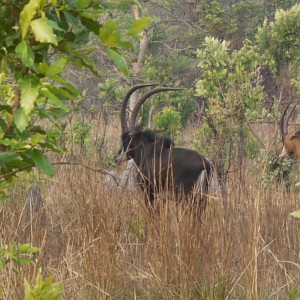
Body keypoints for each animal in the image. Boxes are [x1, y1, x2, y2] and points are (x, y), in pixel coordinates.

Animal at [115, 83, 216, 212]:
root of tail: (205, 164)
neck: (147, 152)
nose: (117, 158)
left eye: (125, 140)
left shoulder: (149, 192)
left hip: (186, 195)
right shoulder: (162, 198)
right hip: (202, 196)